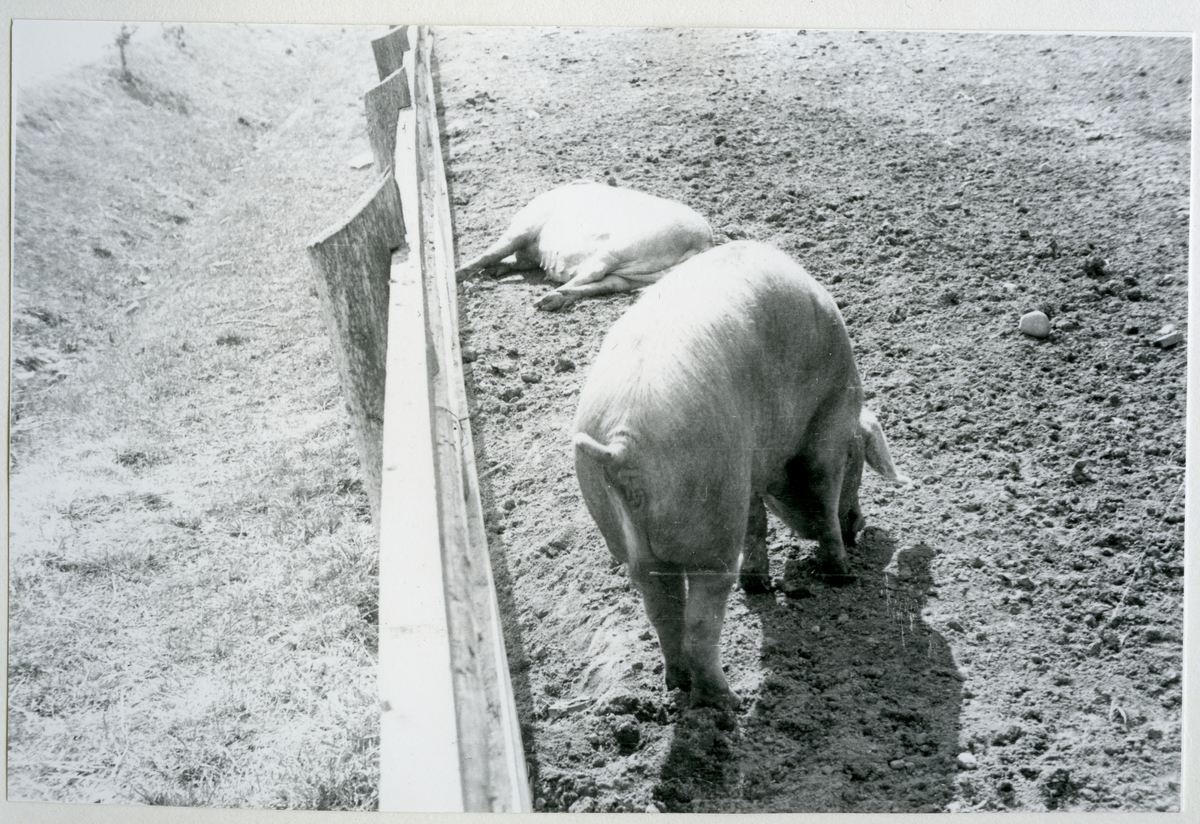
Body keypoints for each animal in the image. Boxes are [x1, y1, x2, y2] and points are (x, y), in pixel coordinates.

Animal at [455, 181, 713, 311]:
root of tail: (703, 243)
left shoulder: (524, 228)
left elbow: (491, 252)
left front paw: (458, 274)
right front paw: (492, 272)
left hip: (622, 247)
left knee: (595, 272)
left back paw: (545, 299)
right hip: (638, 276)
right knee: (608, 284)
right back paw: (554, 299)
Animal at [572, 241, 909, 709]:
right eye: (858, 456)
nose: (860, 526)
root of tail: (620, 444)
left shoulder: (746, 472)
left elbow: (756, 521)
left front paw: (761, 585)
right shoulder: (828, 427)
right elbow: (821, 495)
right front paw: (841, 575)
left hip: (634, 533)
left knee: (663, 611)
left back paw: (678, 685)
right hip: (710, 529)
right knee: (700, 622)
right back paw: (729, 703)